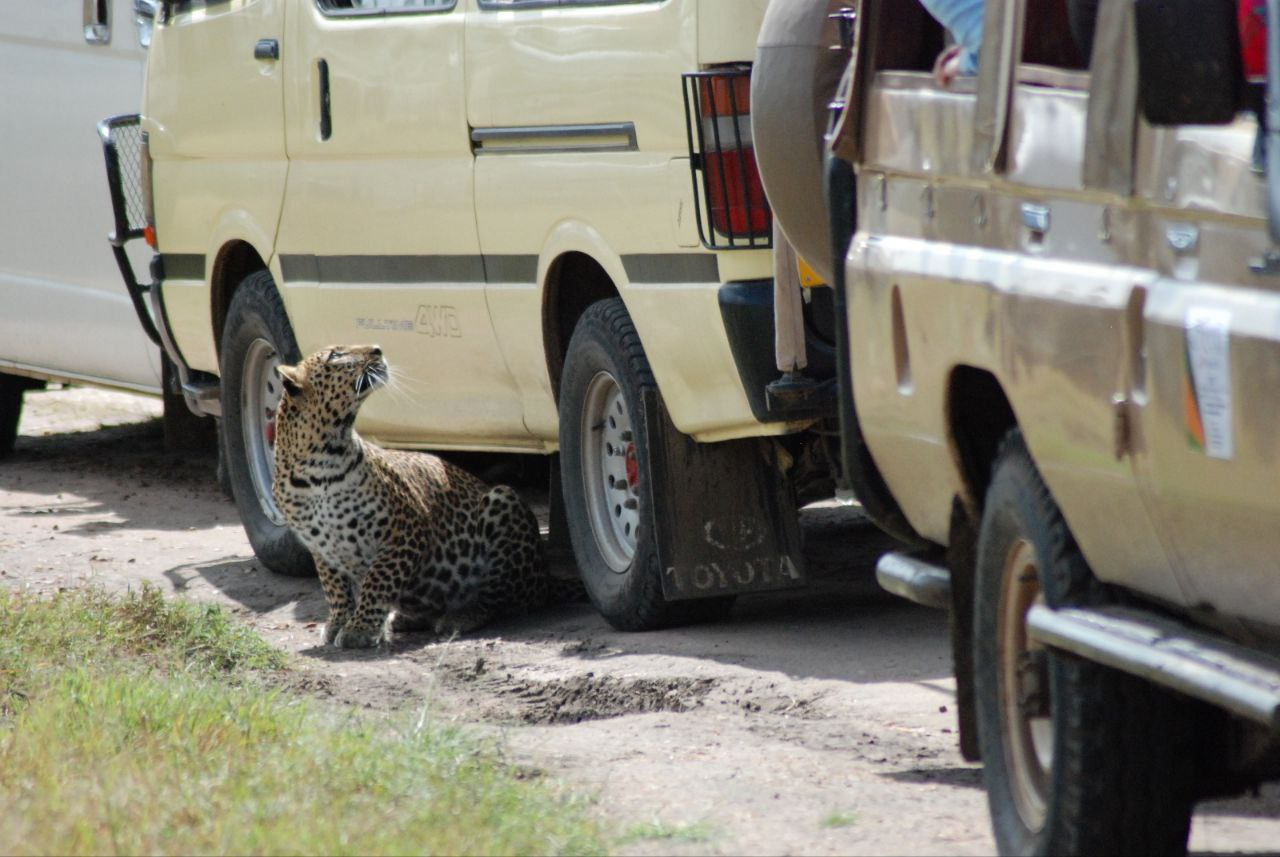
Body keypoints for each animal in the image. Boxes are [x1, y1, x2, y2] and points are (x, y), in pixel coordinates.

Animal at [270, 345, 550, 647]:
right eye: (335, 355)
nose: (377, 349)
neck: (320, 460)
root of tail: (544, 578)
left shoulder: (404, 529)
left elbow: (378, 579)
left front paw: (360, 629)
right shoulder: (321, 548)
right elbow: (334, 586)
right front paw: (339, 622)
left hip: (501, 500)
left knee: (500, 597)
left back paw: (461, 616)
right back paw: (406, 618)